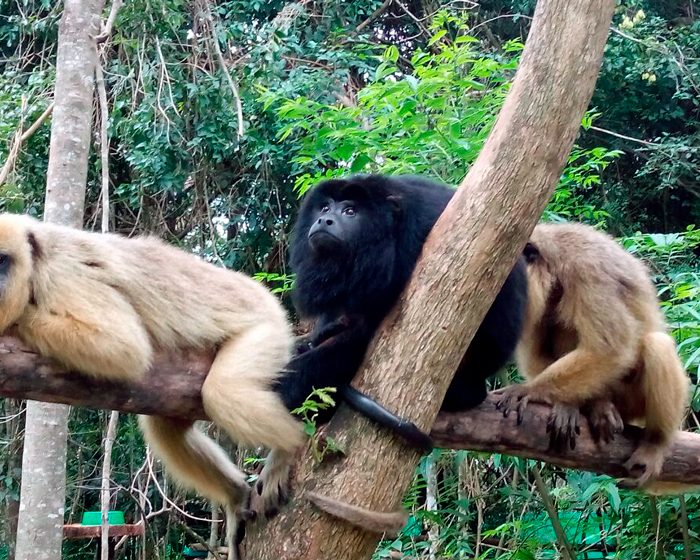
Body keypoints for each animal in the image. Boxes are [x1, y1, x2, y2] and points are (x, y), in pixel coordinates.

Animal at [0, 213, 304, 556]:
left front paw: (19, 318)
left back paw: (289, 448)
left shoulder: (63, 277)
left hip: (268, 329)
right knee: (167, 429)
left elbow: (124, 347)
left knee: (224, 392)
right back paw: (236, 496)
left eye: (2, 260)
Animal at [494, 222, 689, 490]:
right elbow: (536, 353)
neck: (555, 264)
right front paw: (570, 405)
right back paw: (593, 404)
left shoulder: (587, 270)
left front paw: (529, 390)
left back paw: (656, 442)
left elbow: (610, 347)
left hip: (633, 400)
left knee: (656, 346)